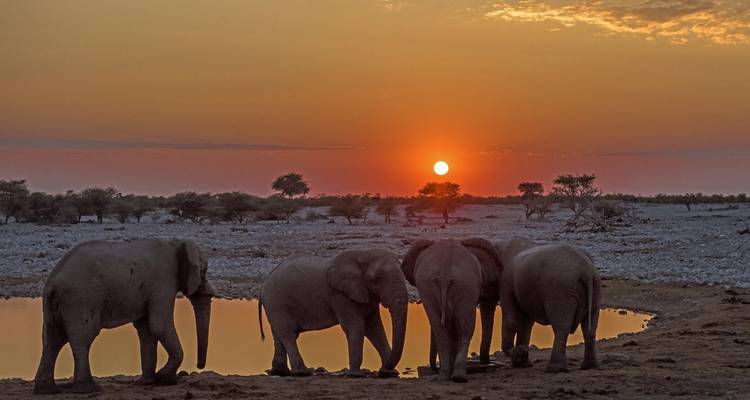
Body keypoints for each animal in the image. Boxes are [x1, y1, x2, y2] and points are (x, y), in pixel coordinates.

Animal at [33, 239, 216, 394]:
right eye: (204, 270)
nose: (199, 366)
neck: (175, 243)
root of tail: (53, 282)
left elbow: (146, 329)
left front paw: (148, 382)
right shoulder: (163, 283)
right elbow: (159, 325)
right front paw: (166, 379)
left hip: (56, 303)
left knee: (53, 339)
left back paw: (47, 391)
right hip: (81, 299)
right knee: (82, 337)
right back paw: (89, 389)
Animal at [258, 249, 408, 378]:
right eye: (377, 278)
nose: (384, 371)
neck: (363, 253)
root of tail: (264, 283)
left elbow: (374, 328)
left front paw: (390, 373)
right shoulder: (339, 295)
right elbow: (356, 327)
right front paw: (355, 375)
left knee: (279, 333)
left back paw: (280, 372)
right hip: (276, 301)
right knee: (288, 332)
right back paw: (302, 372)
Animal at [401, 238, 503, 382]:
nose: (433, 369)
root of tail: (445, 270)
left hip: (437, 285)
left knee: (441, 328)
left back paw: (445, 377)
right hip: (463, 284)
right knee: (464, 328)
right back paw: (458, 377)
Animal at [495, 237, 601, 373]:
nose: (521, 353)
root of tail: (586, 270)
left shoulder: (506, 280)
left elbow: (511, 319)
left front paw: (520, 358)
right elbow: (526, 323)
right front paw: (523, 363)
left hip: (560, 289)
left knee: (561, 327)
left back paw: (554, 369)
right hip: (595, 285)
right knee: (590, 326)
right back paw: (589, 366)